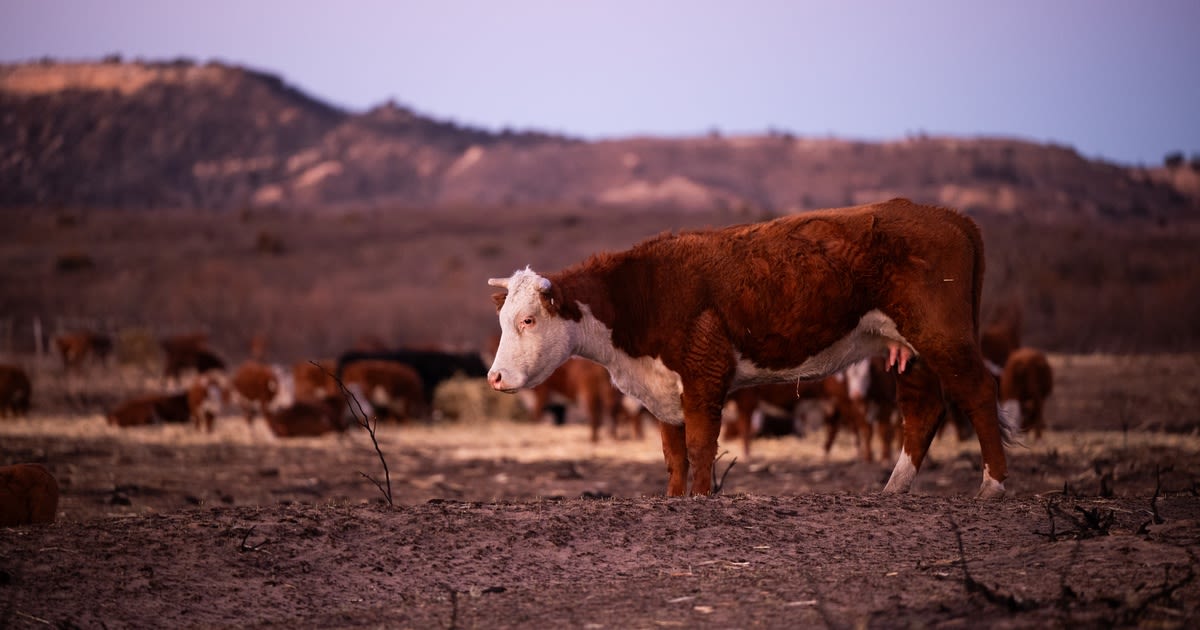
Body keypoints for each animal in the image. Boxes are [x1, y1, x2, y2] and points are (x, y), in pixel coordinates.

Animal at [482, 199, 1017, 499]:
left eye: (529, 320)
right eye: (504, 320)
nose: (495, 376)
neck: (641, 293)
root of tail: (951, 217)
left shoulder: (704, 374)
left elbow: (700, 447)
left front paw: (701, 499)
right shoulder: (664, 390)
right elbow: (673, 453)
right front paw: (674, 499)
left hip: (941, 333)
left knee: (977, 392)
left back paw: (992, 487)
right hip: (909, 348)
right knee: (923, 409)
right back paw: (894, 489)